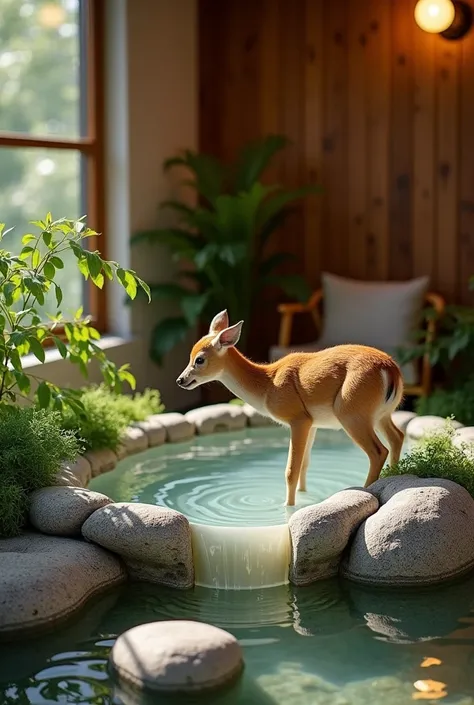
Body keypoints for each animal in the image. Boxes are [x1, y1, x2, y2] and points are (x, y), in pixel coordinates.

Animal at [176, 310, 406, 504]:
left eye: (199, 359)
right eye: (190, 356)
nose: (181, 380)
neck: (269, 385)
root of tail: (390, 369)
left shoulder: (298, 419)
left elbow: (290, 470)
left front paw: (288, 507)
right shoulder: (313, 423)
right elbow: (304, 464)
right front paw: (304, 497)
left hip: (351, 413)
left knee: (378, 451)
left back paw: (366, 488)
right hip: (381, 415)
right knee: (397, 437)